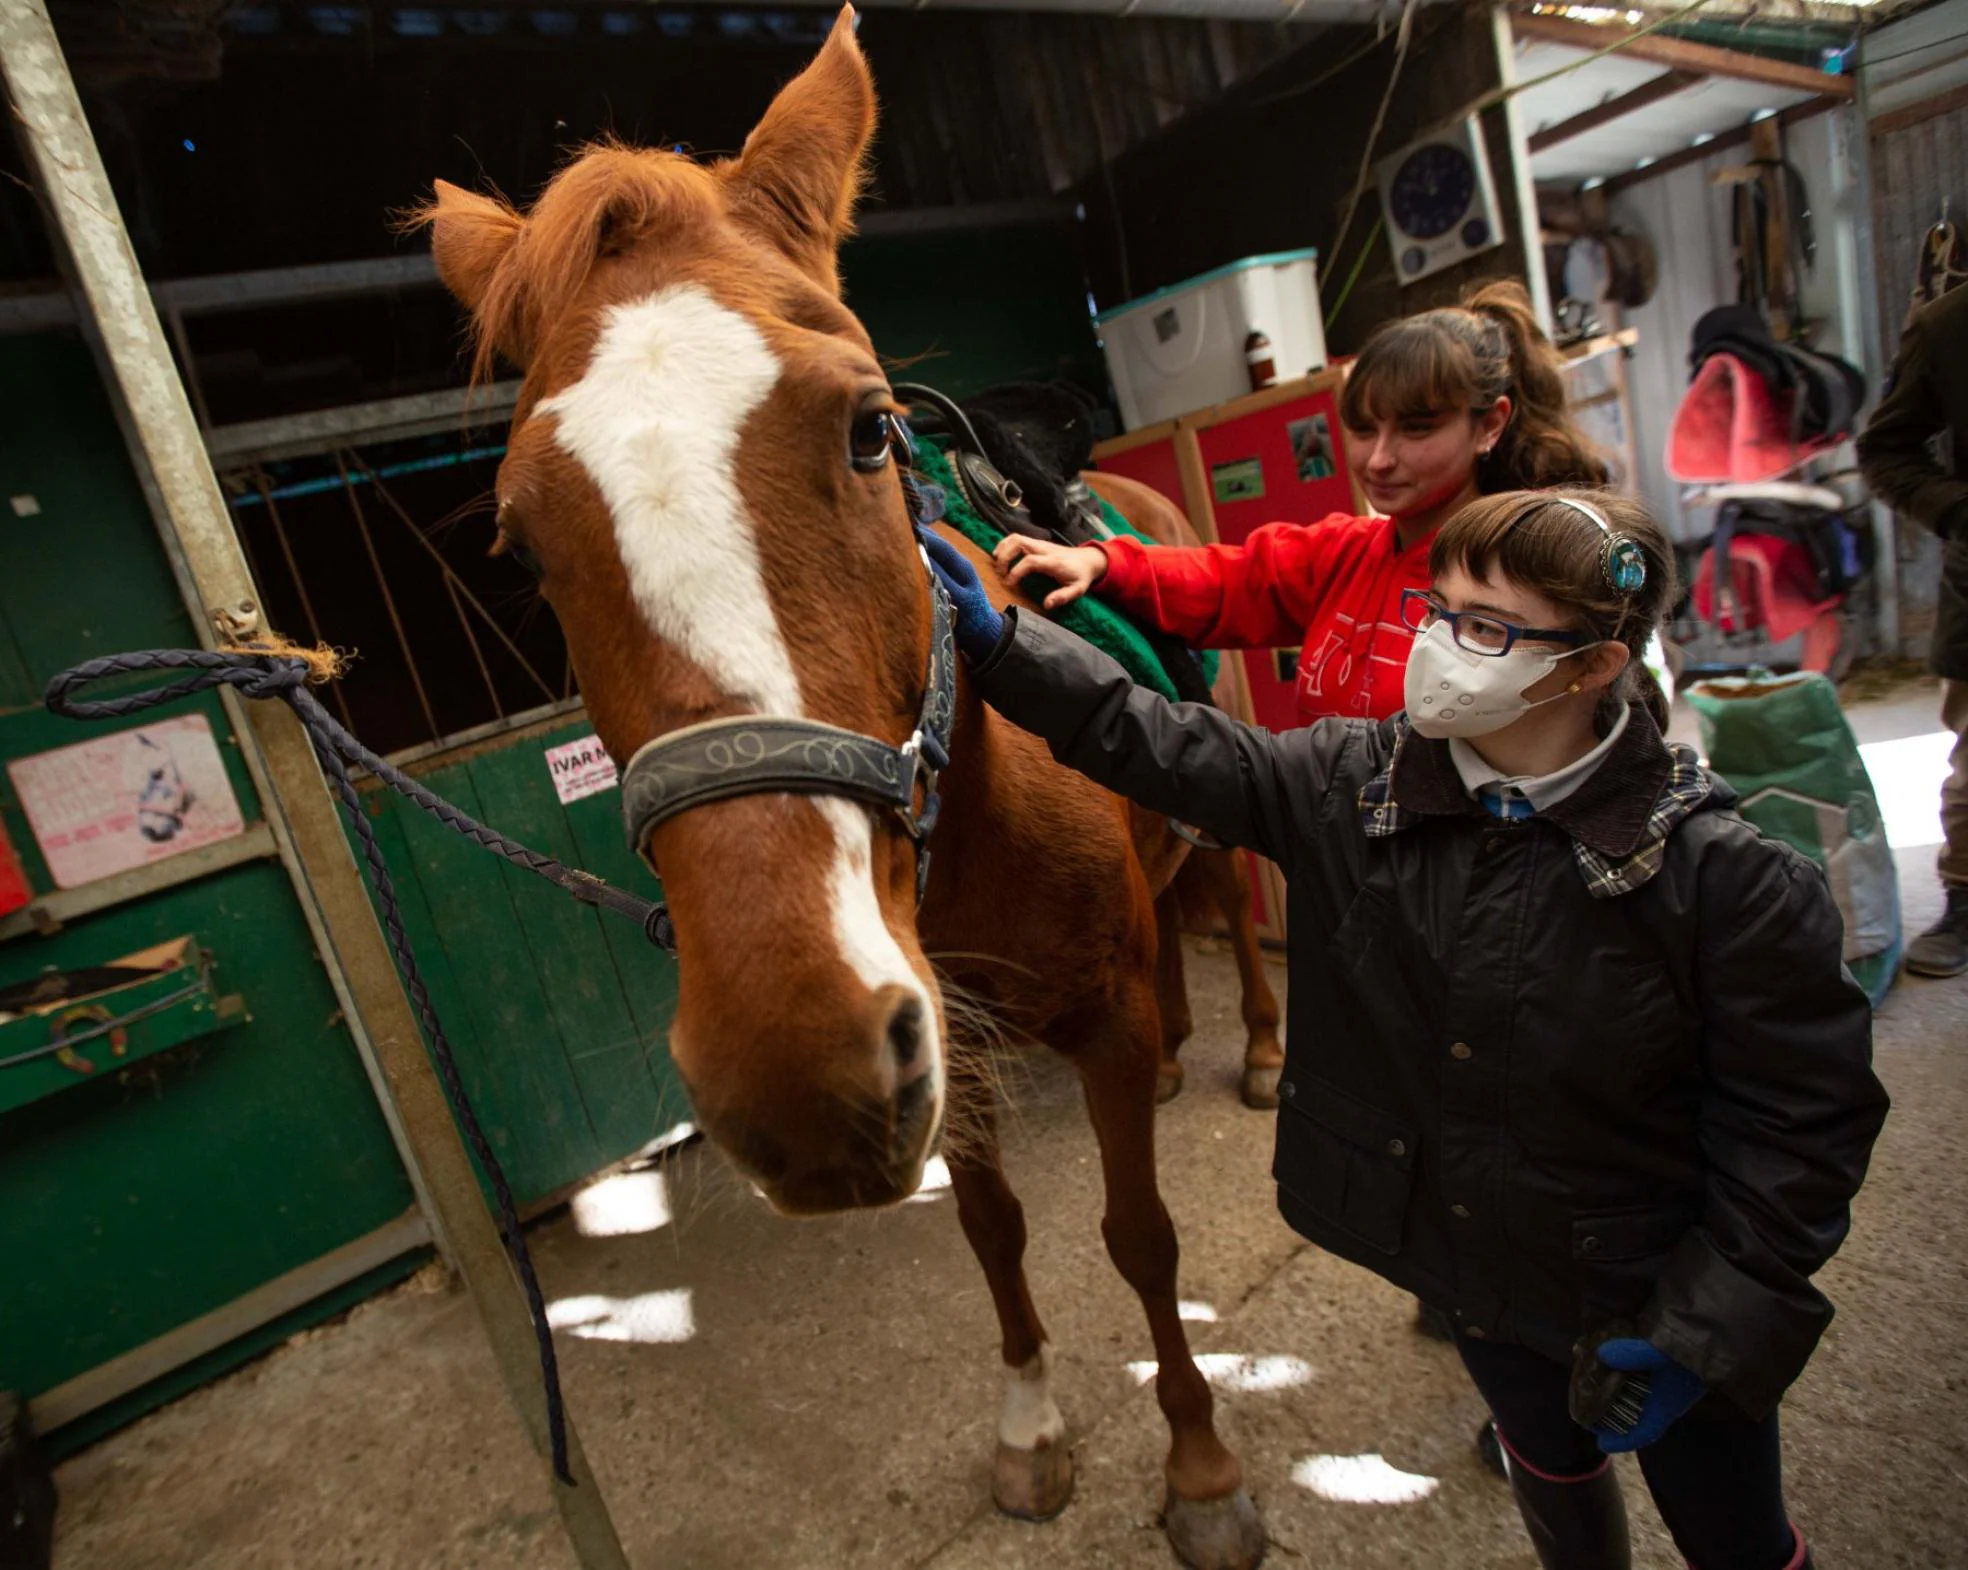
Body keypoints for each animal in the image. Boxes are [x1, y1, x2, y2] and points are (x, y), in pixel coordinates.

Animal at [423, 15, 1267, 1570]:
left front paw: (1197, 1467)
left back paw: (1260, 1051)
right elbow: (992, 1226)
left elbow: (1139, 1234)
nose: (793, 1066)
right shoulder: (957, 1041)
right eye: (519, 544)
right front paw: (1029, 1428)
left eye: (873, 430)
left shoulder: (1082, 1015)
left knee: (1231, 901)